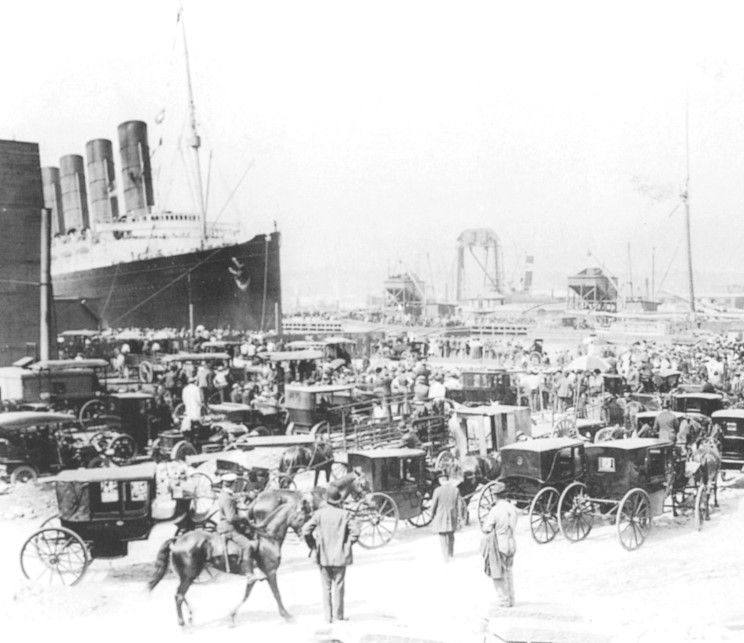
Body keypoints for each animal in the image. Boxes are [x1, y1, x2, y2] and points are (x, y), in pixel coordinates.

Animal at [148, 500, 310, 628]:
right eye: (302, 517)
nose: (305, 535)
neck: (267, 538)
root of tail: (177, 539)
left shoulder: (258, 576)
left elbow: (247, 594)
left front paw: (232, 616)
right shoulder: (270, 572)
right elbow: (276, 594)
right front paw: (287, 615)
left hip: (187, 576)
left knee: (180, 594)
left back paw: (189, 616)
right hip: (189, 575)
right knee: (179, 596)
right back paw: (183, 624)